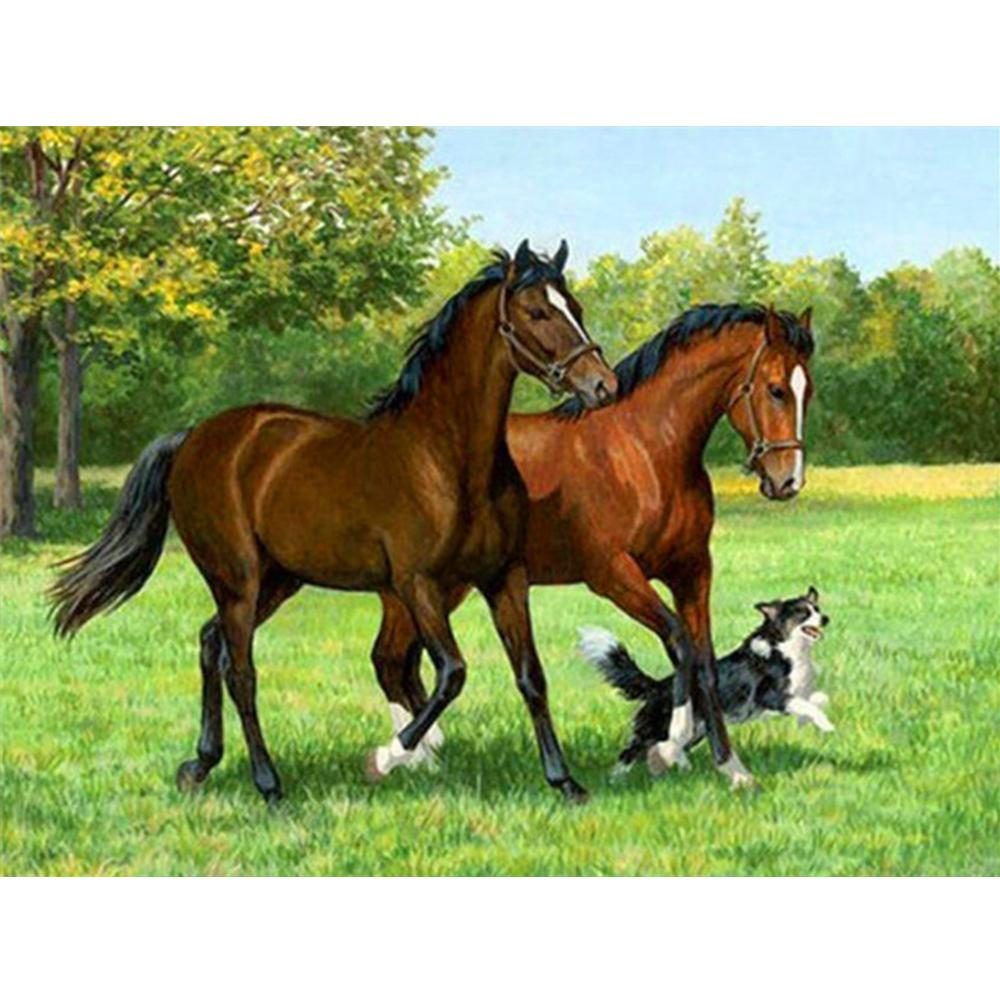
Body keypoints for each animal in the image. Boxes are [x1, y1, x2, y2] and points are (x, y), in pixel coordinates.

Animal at [49, 239, 619, 804]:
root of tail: (193, 438)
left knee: (211, 643)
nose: (603, 386)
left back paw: (200, 764)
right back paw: (269, 784)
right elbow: (451, 673)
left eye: (575, 307)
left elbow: (530, 676)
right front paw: (388, 757)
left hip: (276, 581)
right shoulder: (418, 584)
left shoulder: (505, 578)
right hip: (238, 580)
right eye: (538, 312)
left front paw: (565, 781)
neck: (446, 459)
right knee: (241, 671)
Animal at [372, 303, 815, 788]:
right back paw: (411, 757)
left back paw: (423, 757)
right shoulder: (613, 575)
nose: (787, 482)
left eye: (806, 392)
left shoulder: (692, 571)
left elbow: (705, 663)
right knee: (390, 659)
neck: (643, 449)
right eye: (776, 390)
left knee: (399, 660)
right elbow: (679, 641)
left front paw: (732, 768)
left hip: (442, 588)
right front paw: (671, 743)